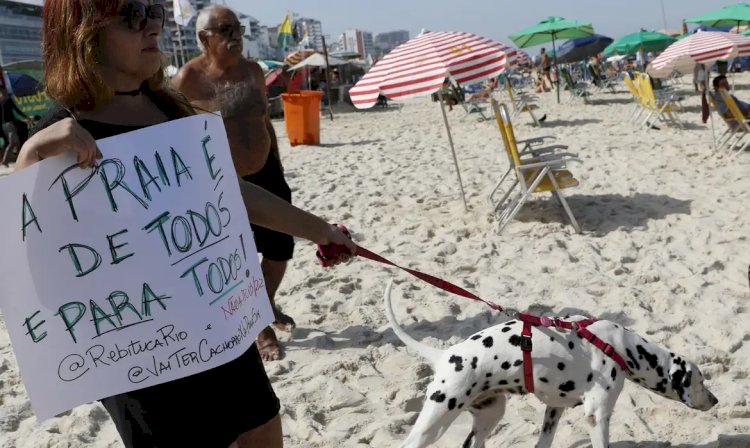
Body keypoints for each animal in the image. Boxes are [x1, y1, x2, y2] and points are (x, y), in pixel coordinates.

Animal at [384, 282, 720, 446]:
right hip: (436, 419)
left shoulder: (553, 411)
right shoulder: (597, 416)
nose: (716, 400)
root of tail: (443, 356)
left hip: (490, 413)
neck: (620, 346)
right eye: (701, 381)